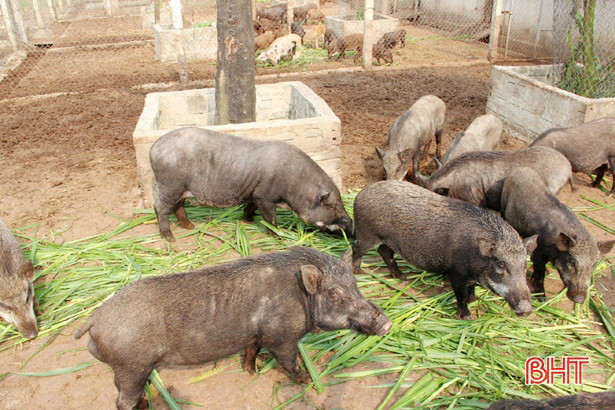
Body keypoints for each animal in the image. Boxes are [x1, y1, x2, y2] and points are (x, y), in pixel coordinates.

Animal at [74, 247, 392, 410]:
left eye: (356, 284)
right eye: (335, 294)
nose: (387, 323)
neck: (301, 297)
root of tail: (96, 318)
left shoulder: (256, 335)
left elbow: (251, 350)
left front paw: (251, 372)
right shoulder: (282, 337)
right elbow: (289, 361)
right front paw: (309, 382)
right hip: (132, 365)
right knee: (122, 400)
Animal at [148, 128, 356, 242]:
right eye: (332, 207)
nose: (353, 228)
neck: (296, 187)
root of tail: (154, 147)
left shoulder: (255, 194)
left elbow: (250, 207)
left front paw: (247, 220)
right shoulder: (265, 197)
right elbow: (270, 218)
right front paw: (277, 235)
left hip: (179, 189)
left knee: (177, 206)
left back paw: (190, 227)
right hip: (170, 185)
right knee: (160, 207)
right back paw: (171, 238)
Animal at [352, 180, 536, 320]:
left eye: (524, 266)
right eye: (501, 264)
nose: (526, 310)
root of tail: (360, 194)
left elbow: (471, 290)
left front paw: (474, 299)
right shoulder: (455, 273)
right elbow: (460, 296)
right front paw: (467, 317)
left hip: (389, 241)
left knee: (384, 251)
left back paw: (402, 277)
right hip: (367, 234)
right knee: (356, 248)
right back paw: (358, 272)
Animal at [500, 167, 615, 304]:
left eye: (593, 264)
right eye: (572, 262)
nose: (579, 299)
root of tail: (521, 168)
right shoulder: (540, 250)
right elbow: (540, 274)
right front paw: (542, 299)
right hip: (503, 204)